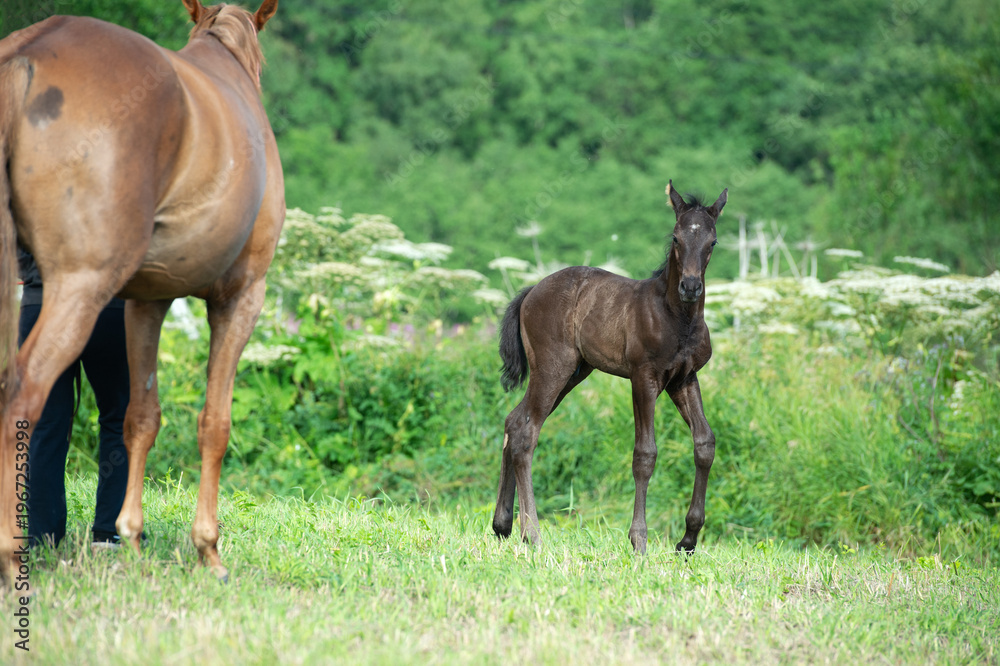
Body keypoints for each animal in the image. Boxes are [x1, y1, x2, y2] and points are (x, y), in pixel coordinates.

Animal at [0, 0, 284, 586]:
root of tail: (30, 49)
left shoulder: (145, 302)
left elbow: (140, 417)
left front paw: (129, 537)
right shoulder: (241, 299)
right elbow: (215, 423)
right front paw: (209, 548)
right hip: (81, 288)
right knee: (22, 395)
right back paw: (11, 552)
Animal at [492, 181, 727, 554]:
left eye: (712, 242)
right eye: (676, 238)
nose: (690, 287)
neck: (677, 318)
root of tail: (531, 291)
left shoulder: (684, 378)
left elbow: (704, 444)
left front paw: (688, 540)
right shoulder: (643, 377)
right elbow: (645, 454)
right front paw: (639, 540)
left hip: (573, 372)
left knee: (514, 422)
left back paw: (502, 525)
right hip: (553, 367)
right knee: (526, 432)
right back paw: (532, 534)